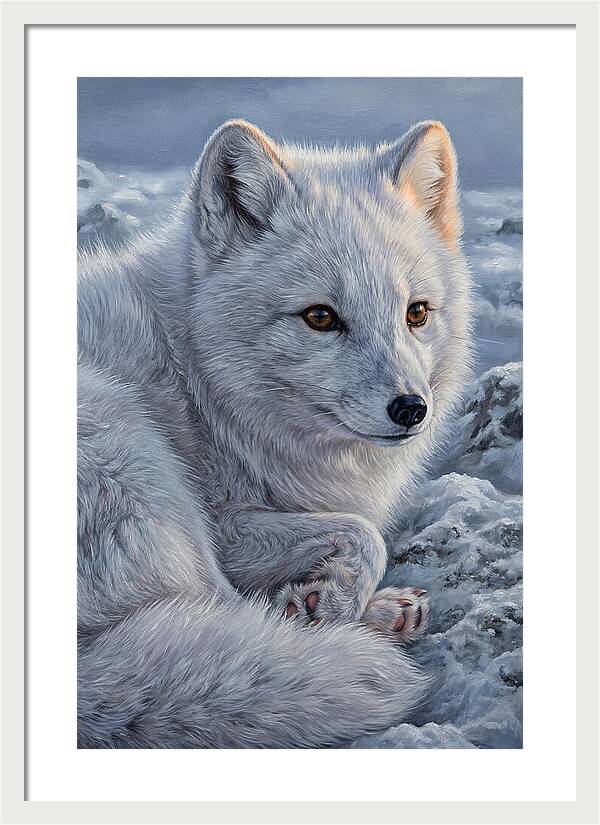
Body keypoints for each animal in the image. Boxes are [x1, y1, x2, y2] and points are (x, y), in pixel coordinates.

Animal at [77, 118, 473, 748]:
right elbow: (366, 534)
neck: (196, 377)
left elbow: (356, 533)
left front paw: (325, 598)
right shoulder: (224, 523)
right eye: (320, 317)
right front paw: (329, 603)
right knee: (224, 612)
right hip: (132, 451)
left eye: (416, 313)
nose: (411, 409)